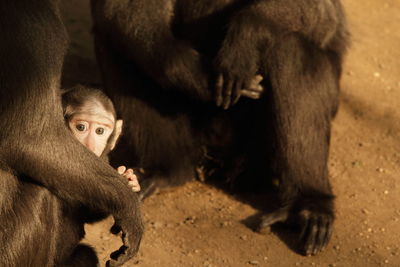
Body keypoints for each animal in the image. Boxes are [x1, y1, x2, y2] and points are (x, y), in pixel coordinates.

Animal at [0, 1, 144, 266]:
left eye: (100, 131)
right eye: (80, 128)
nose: (89, 143)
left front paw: (130, 180)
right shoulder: (35, 20)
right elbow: (29, 141)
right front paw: (128, 203)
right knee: (41, 190)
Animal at [92, 0, 348, 256]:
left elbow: (318, 14)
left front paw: (244, 42)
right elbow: (123, 10)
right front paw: (196, 76)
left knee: (293, 50)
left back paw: (309, 204)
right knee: (118, 38)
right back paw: (167, 170)